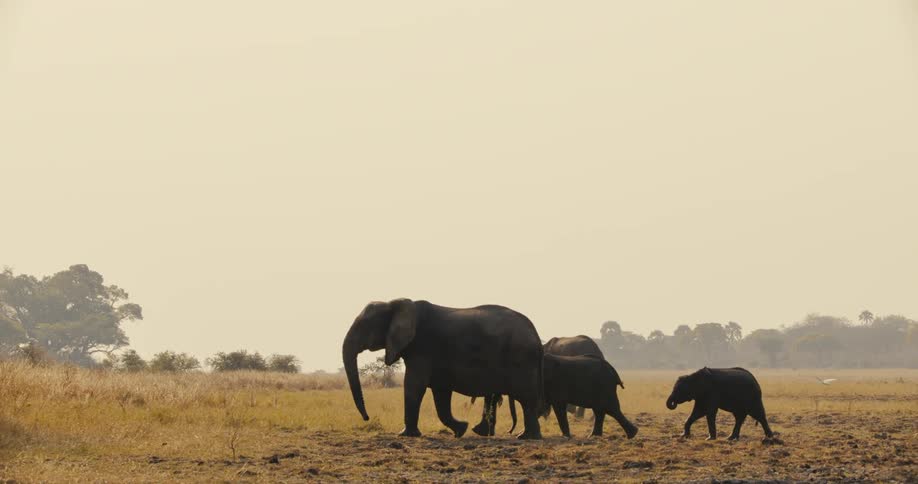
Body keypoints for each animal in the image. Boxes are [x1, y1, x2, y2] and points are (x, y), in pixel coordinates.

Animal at [342, 298, 544, 439]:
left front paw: (405, 435)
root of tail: (535, 333)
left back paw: (526, 437)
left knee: (526, 398)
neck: (394, 304)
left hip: (521, 359)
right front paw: (461, 429)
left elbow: (414, 385)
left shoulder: (422, 347)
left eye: (364, 326)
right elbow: (440, 393)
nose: (367, 417)